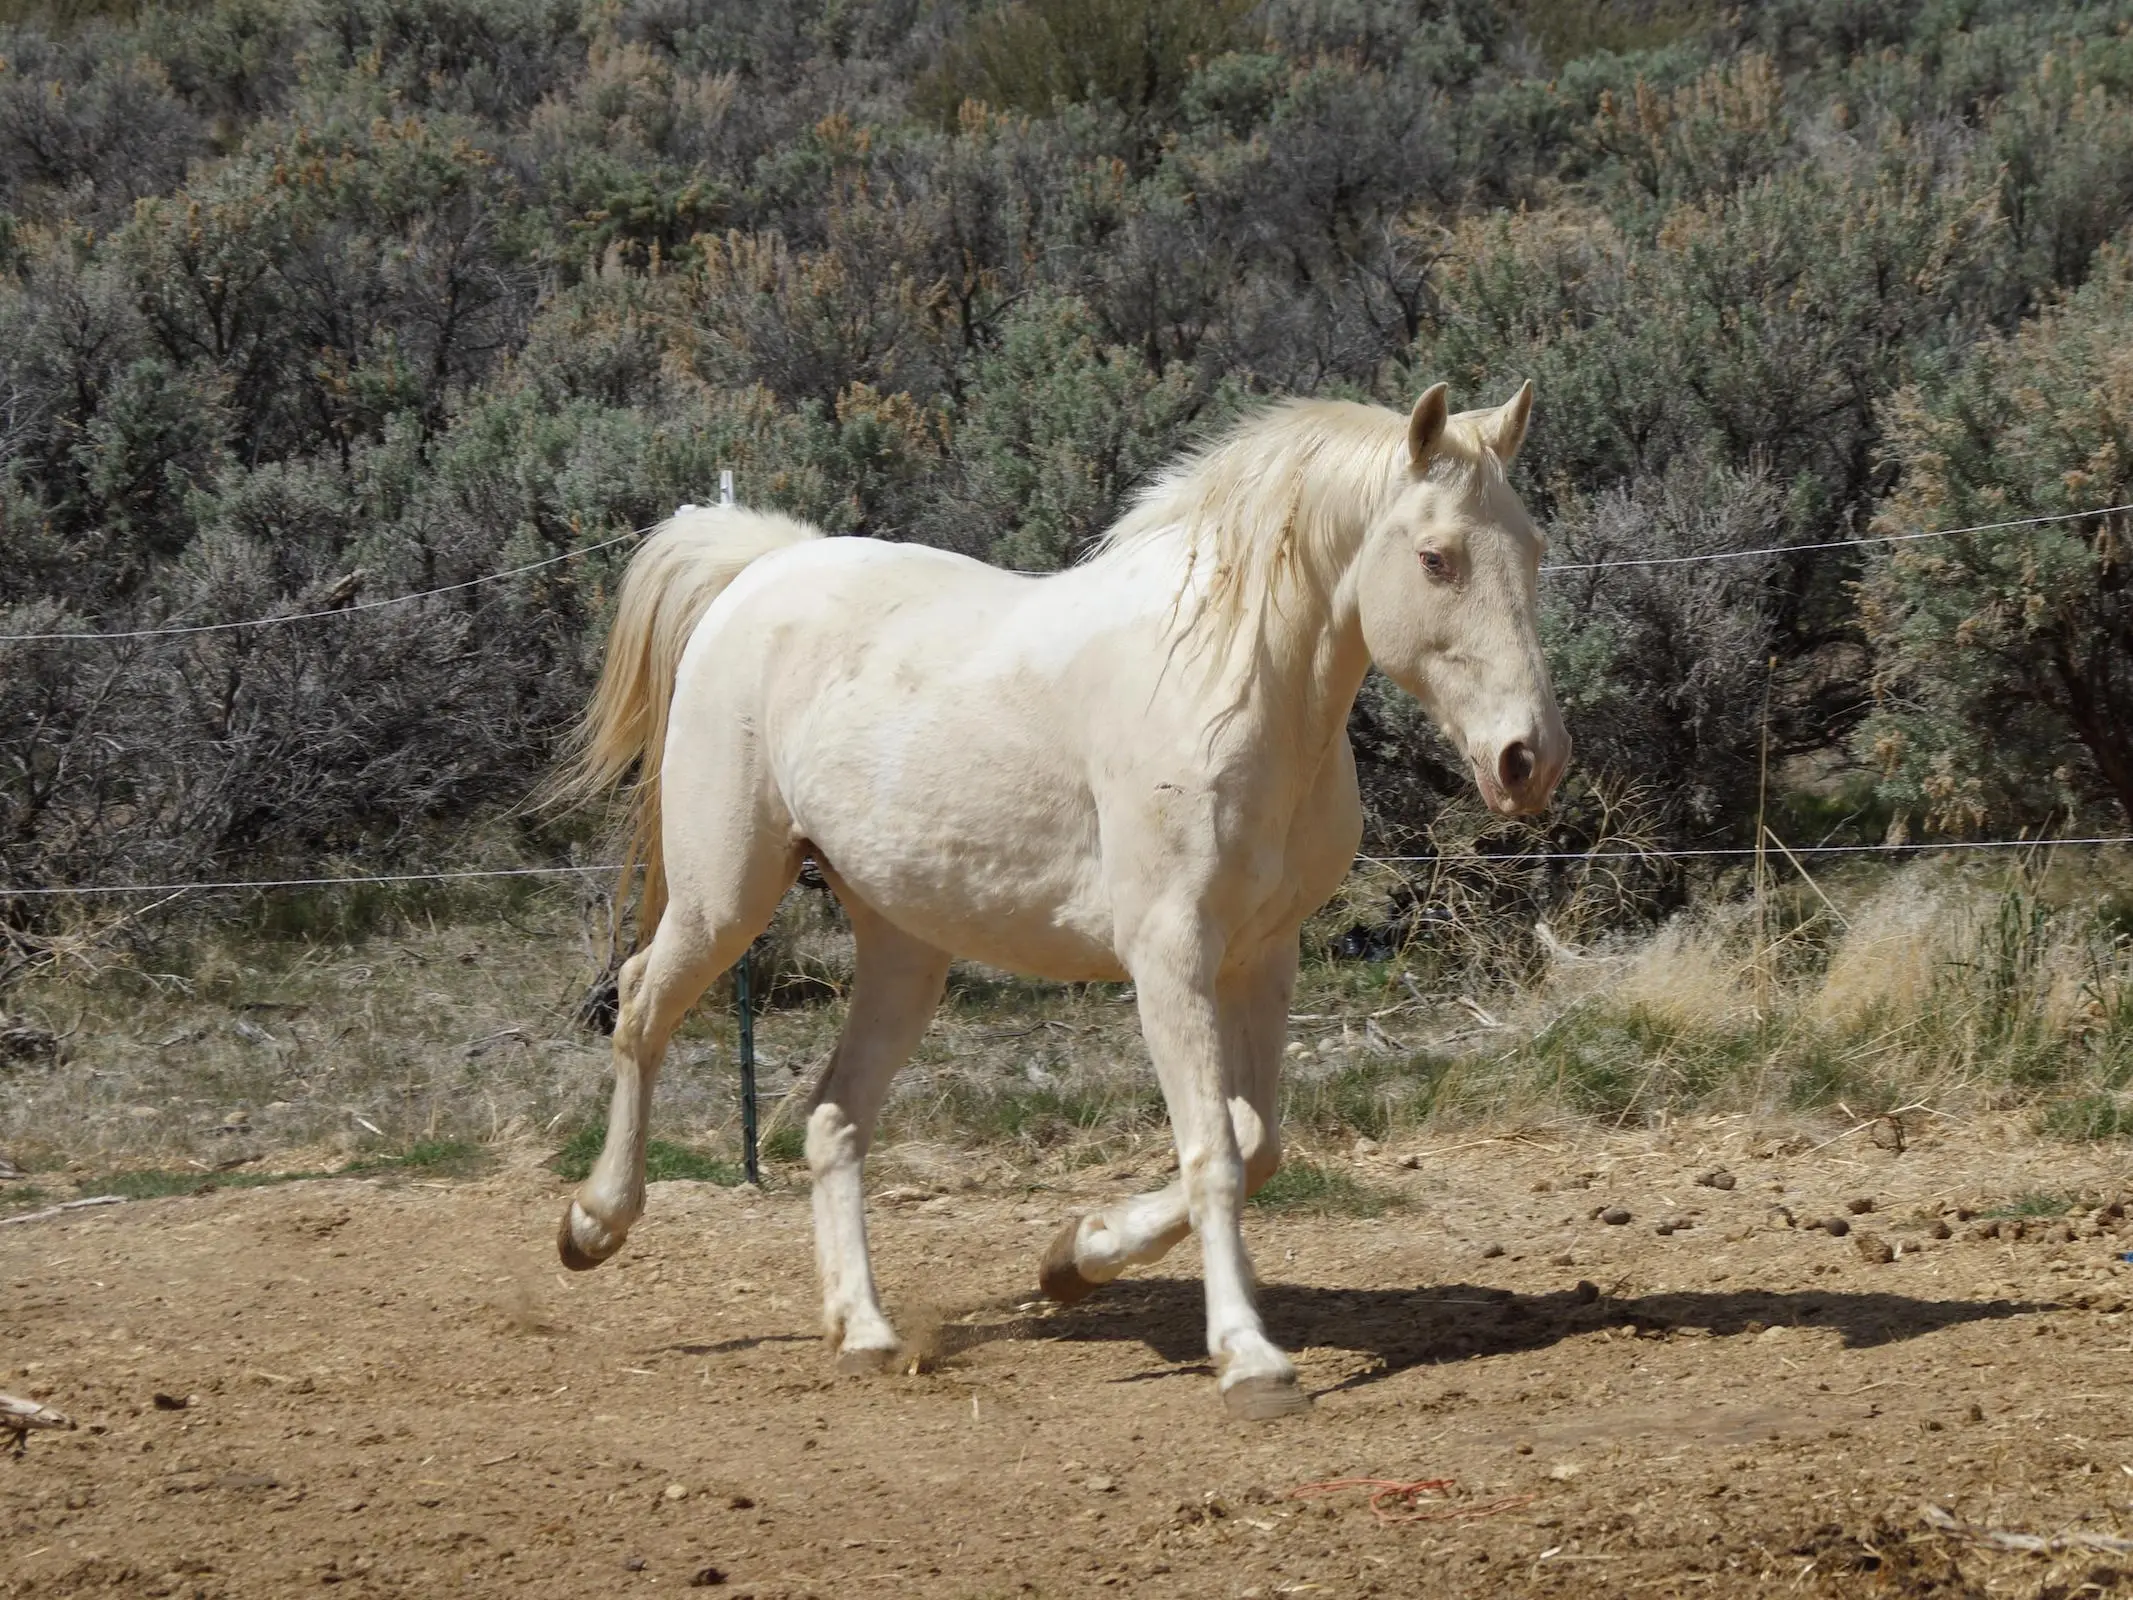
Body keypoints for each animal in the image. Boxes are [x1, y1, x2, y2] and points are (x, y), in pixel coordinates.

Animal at [551, 382, 1568, 1420]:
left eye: (1531, 548)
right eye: (1435, 558)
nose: (1528, 761)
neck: (1228, 685)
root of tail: (763, 565)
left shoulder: (1262, 955)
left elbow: (1255, 1144)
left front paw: (1077, 1257)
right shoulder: (1168, 954)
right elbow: (1214, 1154)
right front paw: (1248, 1357)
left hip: (903, 947)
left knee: (834, 1118)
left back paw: (865, 1332)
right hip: (725, 896)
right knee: (640, 1007)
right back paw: (592, 1225)